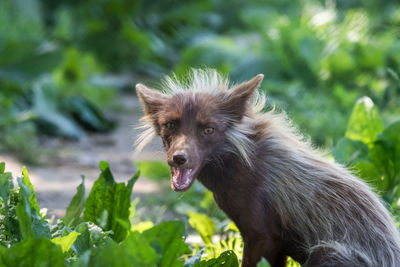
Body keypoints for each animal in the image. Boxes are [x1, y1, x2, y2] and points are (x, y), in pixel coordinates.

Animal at [135, 69, 400, 267]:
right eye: (170, 125)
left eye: (208, 129)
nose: (178, 158)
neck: (239, 165)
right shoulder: (272, 246)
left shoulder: (261, 239)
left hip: (325, 253)